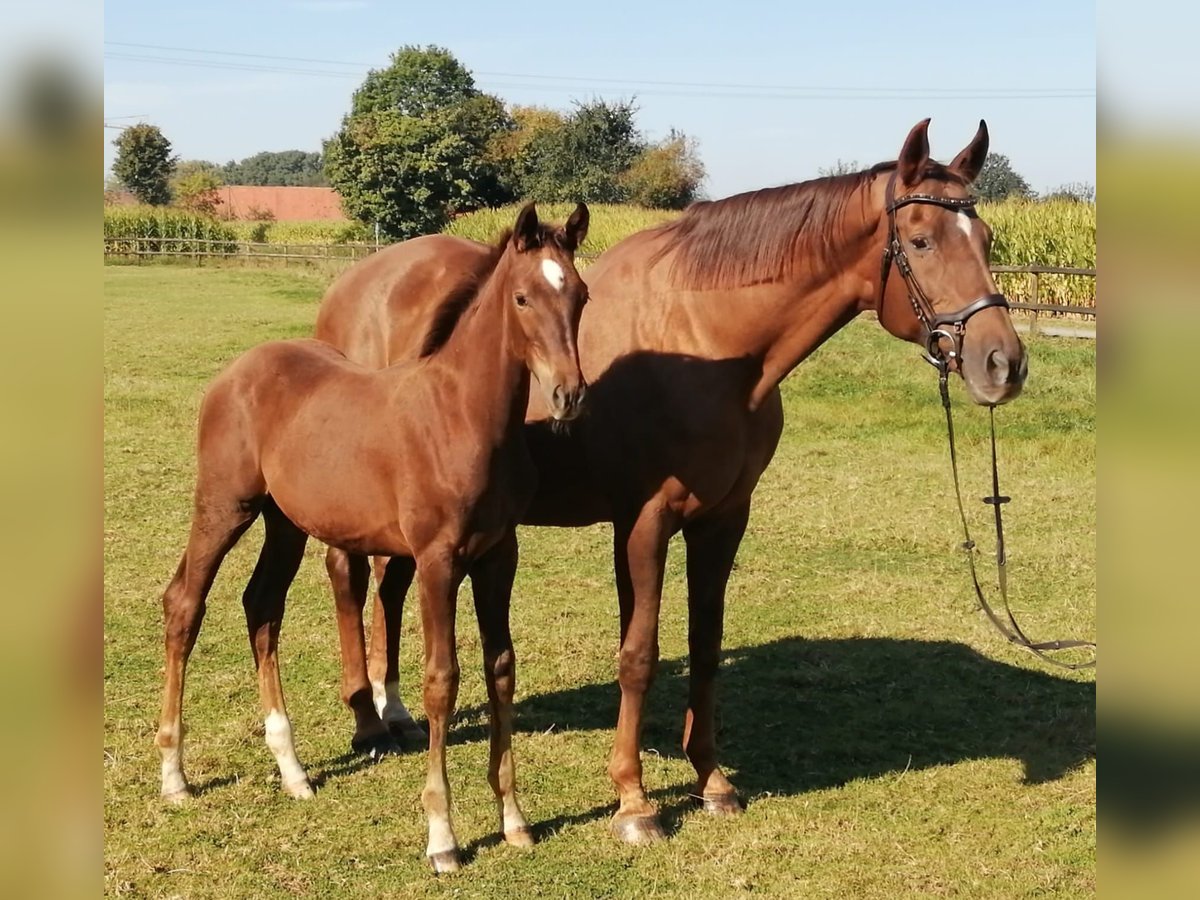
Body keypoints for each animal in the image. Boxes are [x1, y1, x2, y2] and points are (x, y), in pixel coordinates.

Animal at [152, 202, 592, 873]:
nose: (569, 396)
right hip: (225, 506)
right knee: (185, 604)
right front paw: (442, 838)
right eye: (522, 297)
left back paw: (293, 771)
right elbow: (442, 680)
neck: (461, 416)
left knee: (262, 607)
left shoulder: (498, 556)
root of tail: (238, 371)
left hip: (285, 523)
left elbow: (501, 670)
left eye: (581, 295)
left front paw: (514, 820)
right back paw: (174, 776)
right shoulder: (438, 560)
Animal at [314, 118, 1027, 844]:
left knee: (390, 584)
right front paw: (633, 802)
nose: (1003, 363)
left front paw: (710, 779)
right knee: (348, 577)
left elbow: (704, 646)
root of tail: (360, 280)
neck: (709, 346)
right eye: (921, 240)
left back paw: (395, 713)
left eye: (988, 240)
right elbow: (639, 654)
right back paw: (367, 721)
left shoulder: (723, 518)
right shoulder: (646, 520)